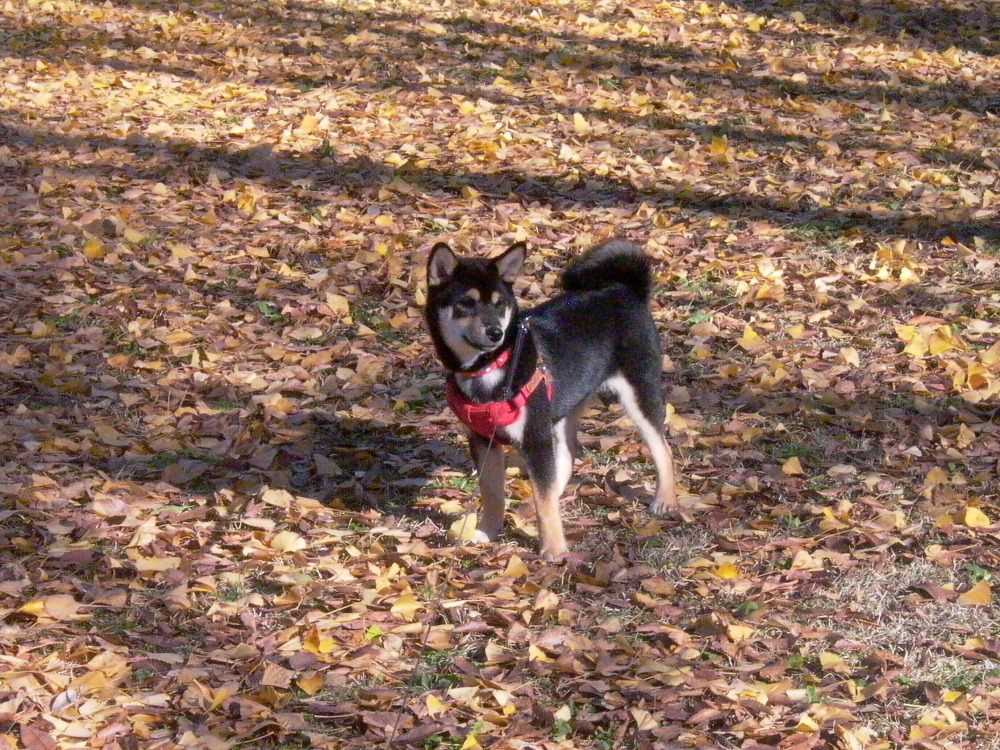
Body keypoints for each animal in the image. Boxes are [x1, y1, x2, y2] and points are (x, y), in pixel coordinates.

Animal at [424, 241, 680, 564]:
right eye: (467, 303)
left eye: (500, 303)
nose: (495, 332)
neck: (490, 368)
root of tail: (625, 289)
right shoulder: (484, 439)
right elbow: (492, 491)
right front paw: (488, 532)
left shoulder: (535, 437)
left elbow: (541, 498)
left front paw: (554, 549)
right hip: (562, 406)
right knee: (567, 457)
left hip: (637, 394)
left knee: (662, 448)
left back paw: (665, 500)